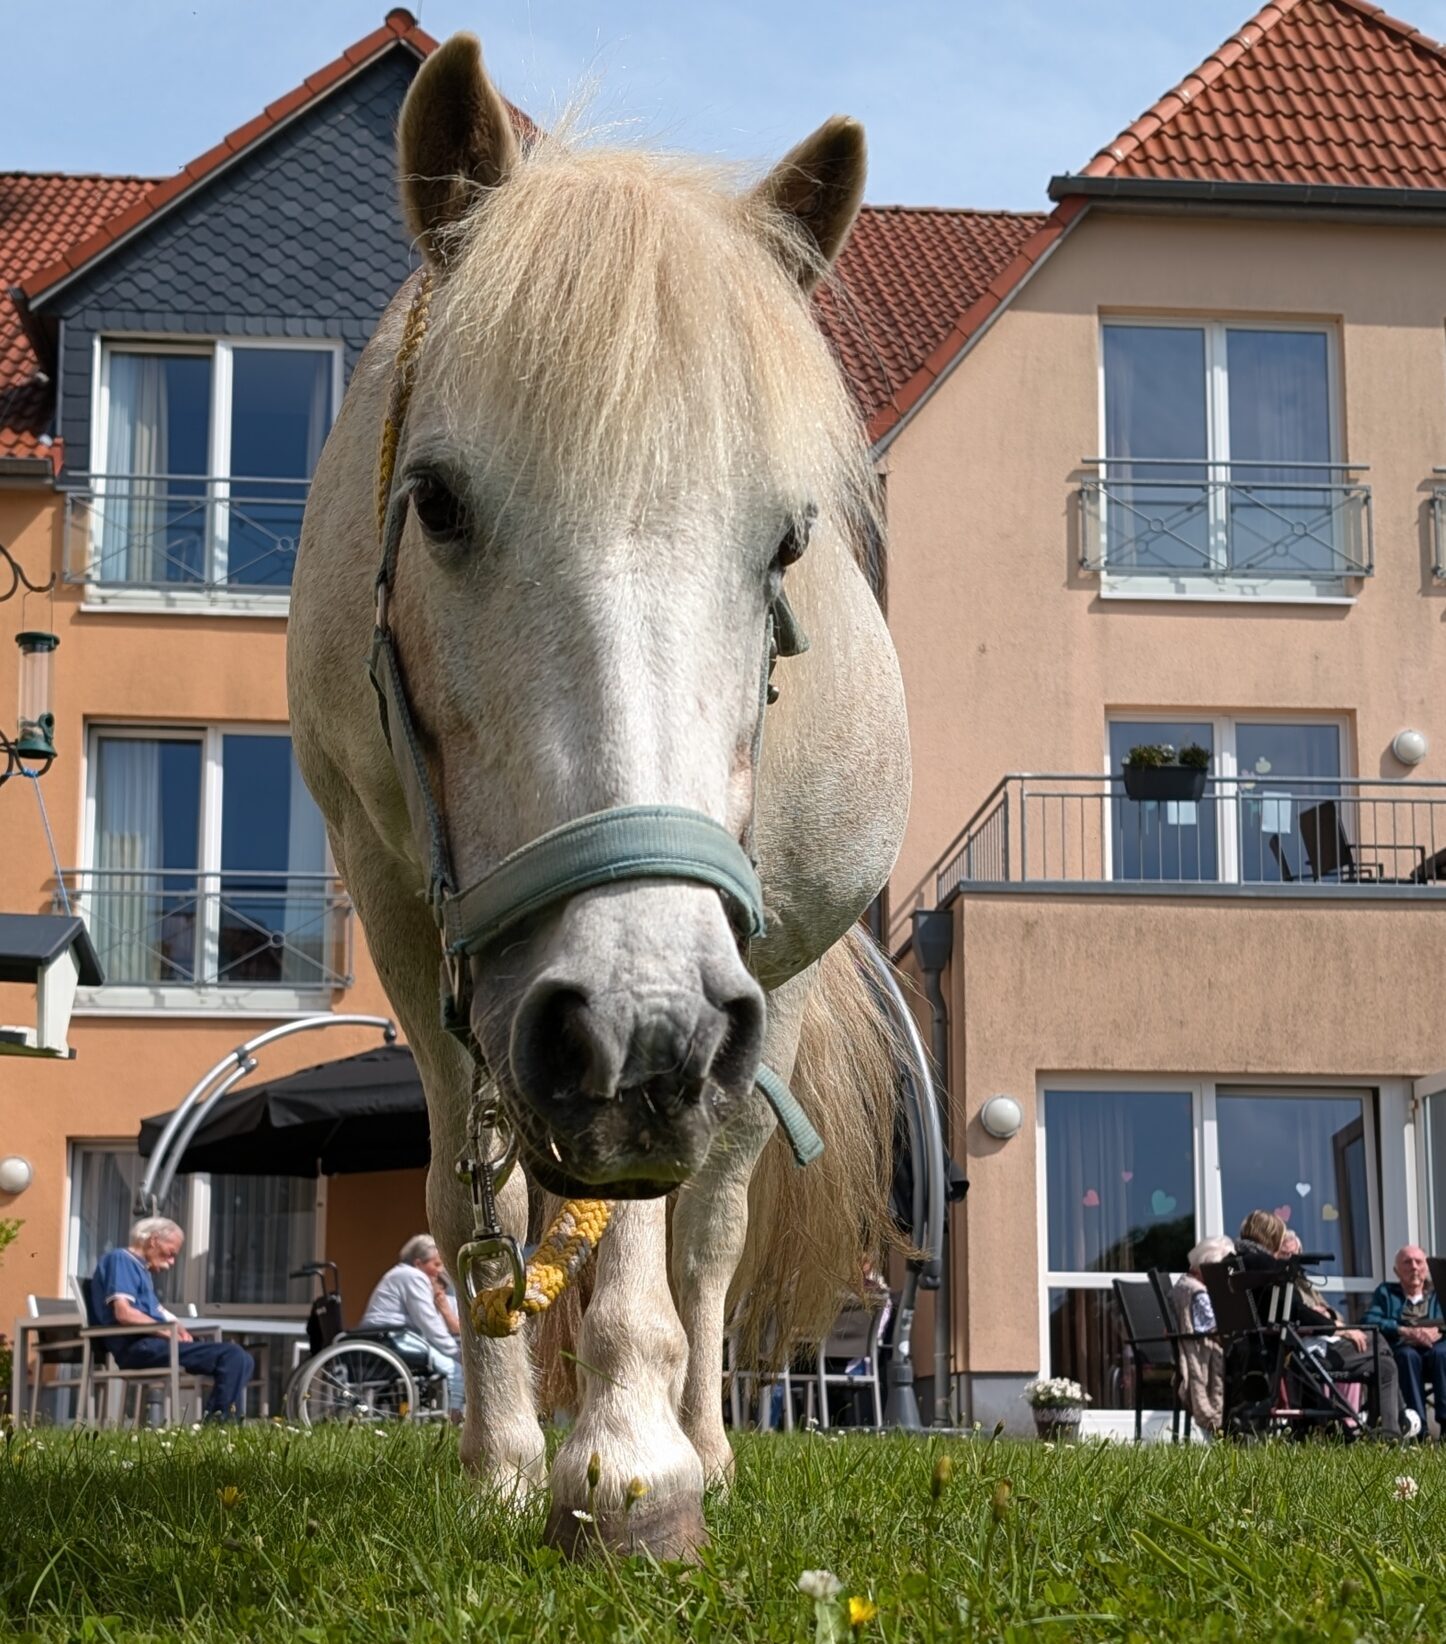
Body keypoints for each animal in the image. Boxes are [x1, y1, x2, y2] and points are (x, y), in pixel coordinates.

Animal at [287, 35, 907, 1551]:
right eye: (437, 502)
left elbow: (639, 1221)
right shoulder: (405, 910)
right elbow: (474, 1191)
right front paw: (503, 1463)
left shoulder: (685, 989)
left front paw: (627, 1460)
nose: (637, 1036)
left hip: (770, 988)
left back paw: (704, 1443)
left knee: (710, 1228)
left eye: (787, 542)